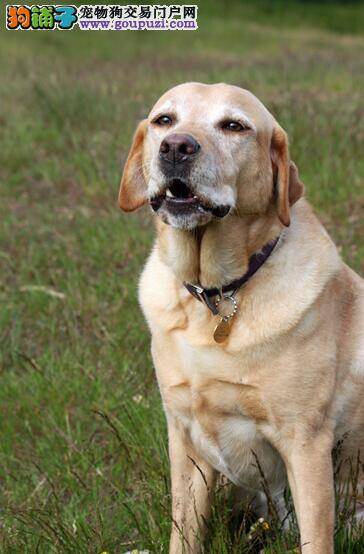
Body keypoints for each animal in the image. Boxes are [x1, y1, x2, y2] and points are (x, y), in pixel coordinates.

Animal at [118, 83, 362, 552]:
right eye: (164, 120)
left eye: (234, 126)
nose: (176, 147)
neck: (216, 294)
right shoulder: (186, 439)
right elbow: (183, 534)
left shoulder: (305, 443)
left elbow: (316, 538)